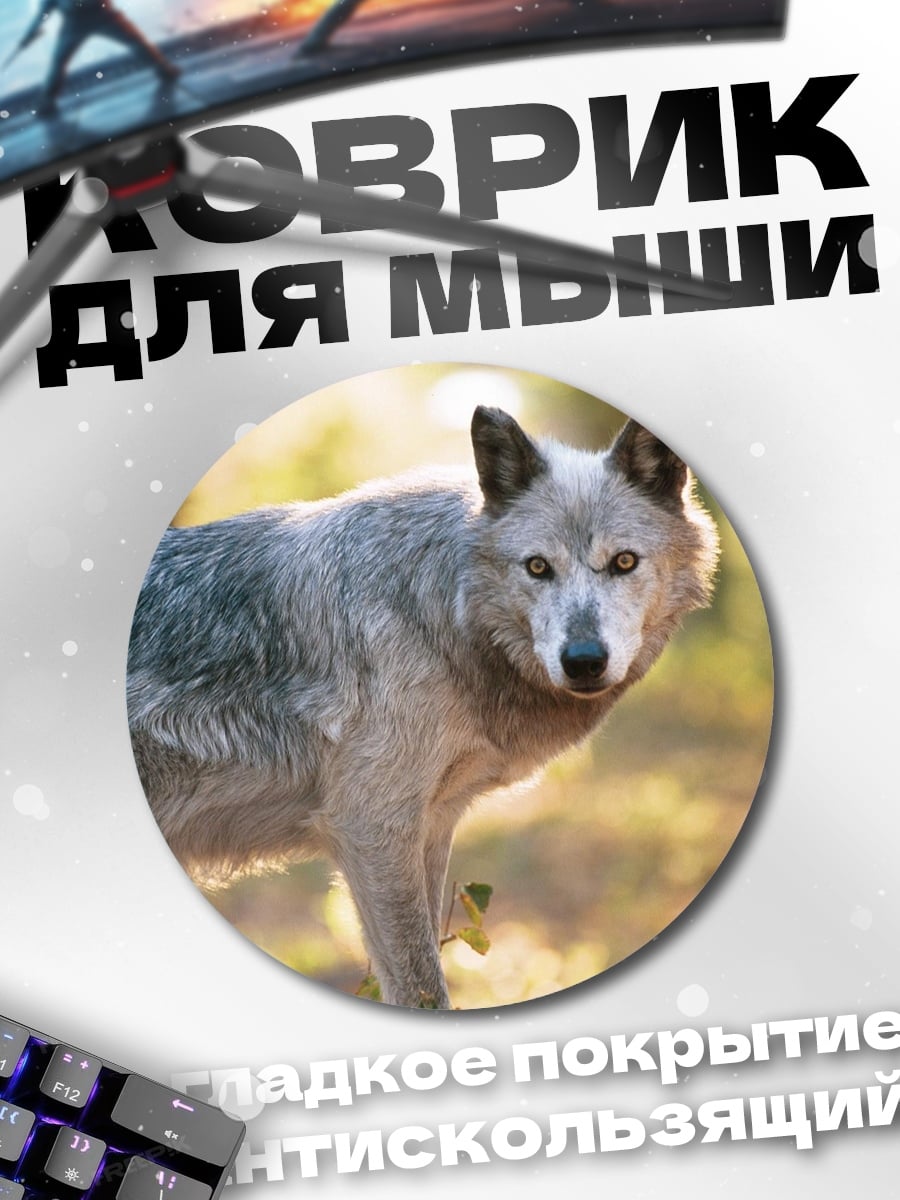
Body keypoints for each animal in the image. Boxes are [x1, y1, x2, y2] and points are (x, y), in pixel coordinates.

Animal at [127, 406, 719, 1008]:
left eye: (623, 562)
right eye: (537, 567)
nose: (582, 661)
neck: (442, 613)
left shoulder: (431, 826)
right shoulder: (371, 830)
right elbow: (424, 989)